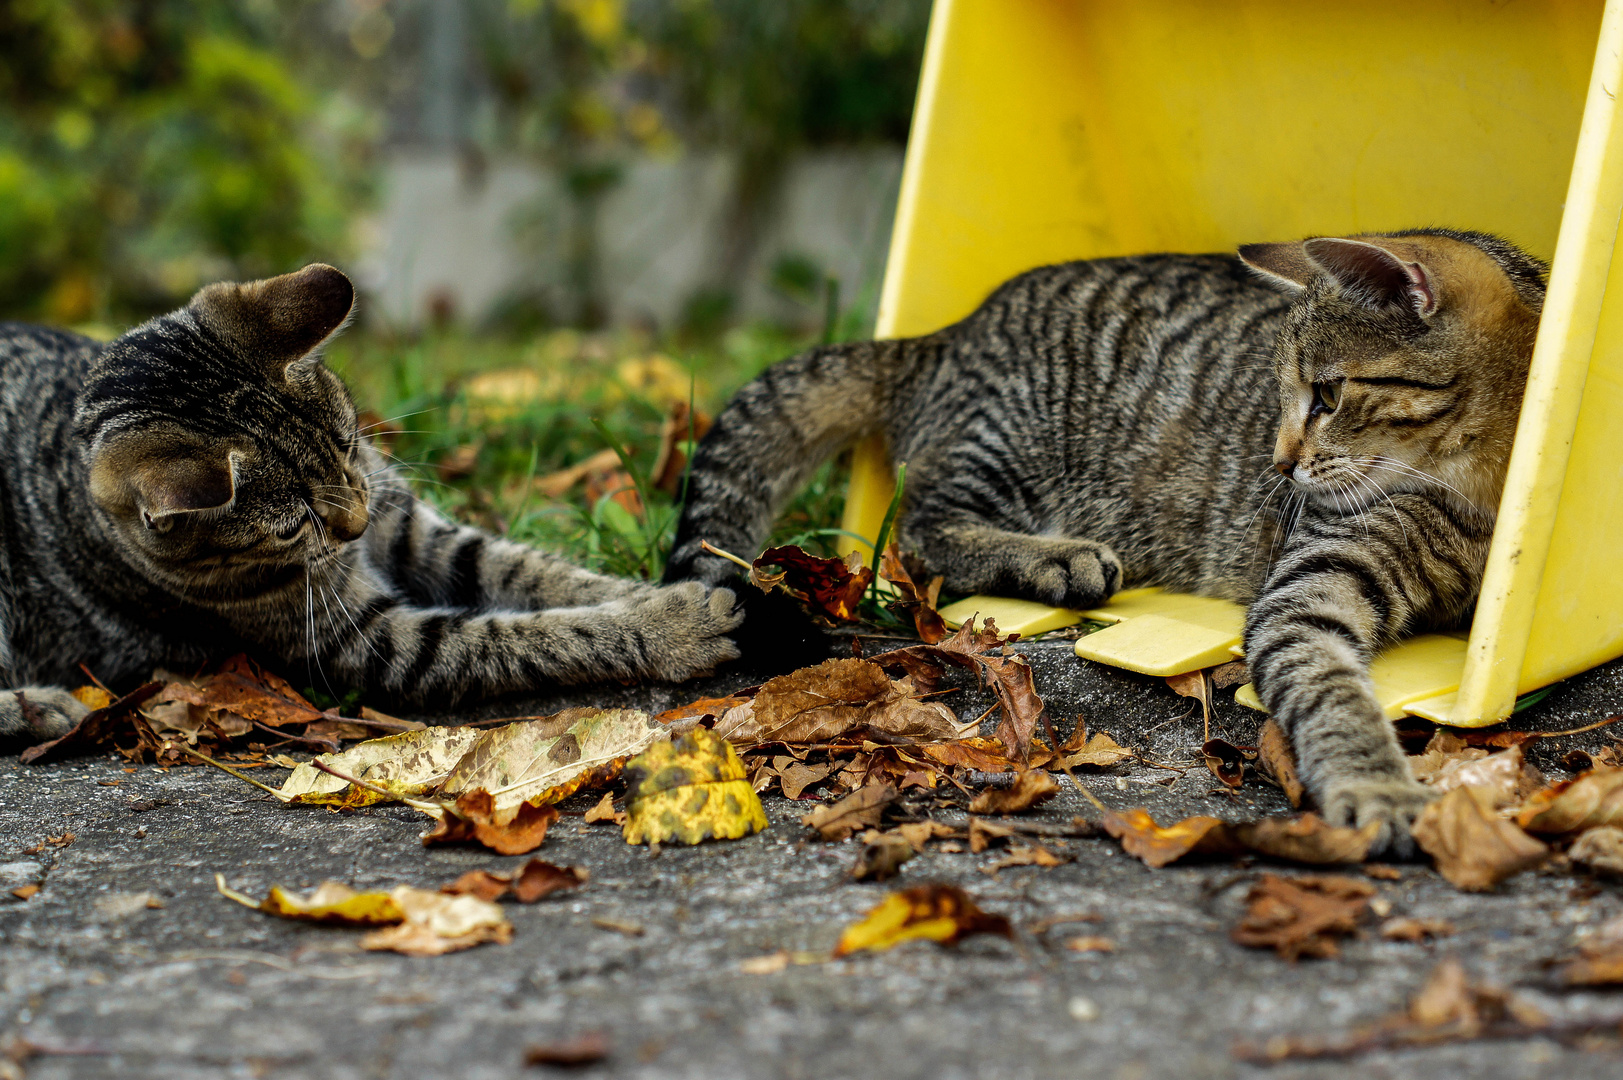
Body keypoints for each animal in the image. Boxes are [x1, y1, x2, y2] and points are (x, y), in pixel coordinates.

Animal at [0, 264, 743, 747]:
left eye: (348, 443)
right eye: (290, 526)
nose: (353, 526)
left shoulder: (412, 526)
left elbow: (537, 573)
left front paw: (650, 592)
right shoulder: (368, 641)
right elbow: (525, 637)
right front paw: (671, 629)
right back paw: (40, 710)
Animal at [671, 227, 1545, 851]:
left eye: (1326, 396)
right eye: (1285, 396)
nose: (1277, 462)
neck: (1477, 492)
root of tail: (947, 333)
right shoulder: (1309, 587)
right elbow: (1330, 691)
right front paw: (1376, 784)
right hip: (1009, 446)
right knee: (919, 534)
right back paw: (1056, 558)